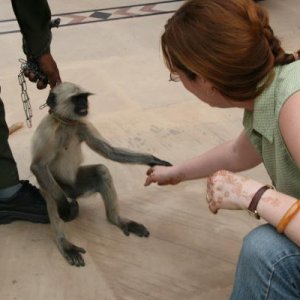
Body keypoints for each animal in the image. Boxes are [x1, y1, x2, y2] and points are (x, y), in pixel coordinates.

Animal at [30, 82, 172, 268]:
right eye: (76, 99)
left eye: (84, 97)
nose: (85, 104)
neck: (67, 123)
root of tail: (72, 193)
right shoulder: (49, 130)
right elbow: (38, 166)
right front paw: (65, 208)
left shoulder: (83, 124)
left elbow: (109, 151)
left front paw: (154, 160)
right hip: (57, 186)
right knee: (53, 195)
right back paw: (64, 242)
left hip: (77, 185)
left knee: (101, 171)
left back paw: (117, 220)